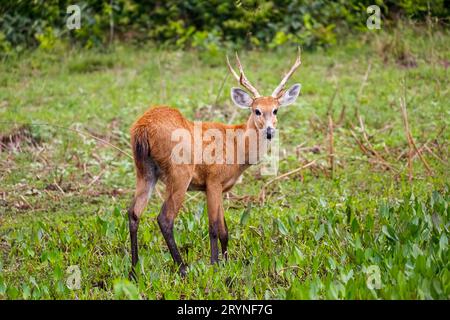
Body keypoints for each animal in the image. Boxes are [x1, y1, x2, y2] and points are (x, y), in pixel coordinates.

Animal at [127, 48, 302, 278]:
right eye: (256, 110)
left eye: (275, 110)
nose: (270, 131)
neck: (238, 147)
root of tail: (142, 128)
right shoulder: (213, 181)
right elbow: (215, 227)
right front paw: (215, 265)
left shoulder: (217, 187)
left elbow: (223, 229)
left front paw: (225, 263)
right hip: (179, 173)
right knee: (164, 218)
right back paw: (183, 268)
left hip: (144, 170)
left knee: (134, 213)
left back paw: (134, 270)